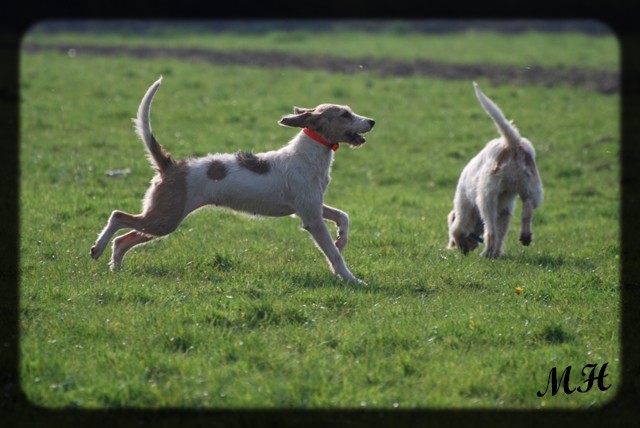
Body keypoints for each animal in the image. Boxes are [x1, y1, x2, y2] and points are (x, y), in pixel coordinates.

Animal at [89, 77, 376, 284]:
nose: (372, 121)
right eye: (345, 115)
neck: (309, 153)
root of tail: (171, 165)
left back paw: (115, 269)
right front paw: (351, 280)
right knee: (117, 217)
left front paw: (342, 239)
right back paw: (98, 249)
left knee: (123, 240)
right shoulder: (311, 218)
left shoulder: (312, 206)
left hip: (162, 218)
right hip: (165, 218)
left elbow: (343, 216)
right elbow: (334, 255)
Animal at [448, 83, 544, 258]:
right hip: (532, 190)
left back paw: (486, 253)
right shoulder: (506, 210)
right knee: (527, 211)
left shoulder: (464, 206)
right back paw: (525, 236)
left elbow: (458, 228)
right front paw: (497, 253)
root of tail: (513, 144)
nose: (452, 247)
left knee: (490, 232)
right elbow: (502, 233)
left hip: (487, 197)